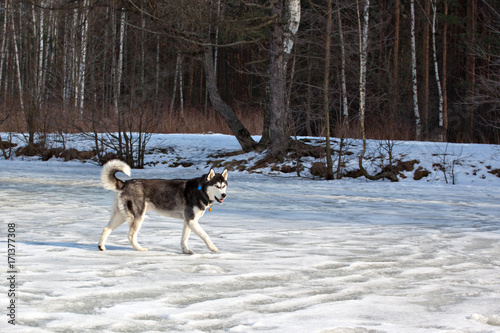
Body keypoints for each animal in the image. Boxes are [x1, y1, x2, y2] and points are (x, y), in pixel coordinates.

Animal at [98, 160, 228, 253]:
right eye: (217, 186)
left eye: (223, 186)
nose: (224, 195)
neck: (200, 191)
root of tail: (125, 183)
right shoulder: (191, 220)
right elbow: (205, 235)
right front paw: (213, 248)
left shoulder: (188, 221)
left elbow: (184, 238)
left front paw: (185, 250)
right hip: (138, 216)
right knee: (131, 236)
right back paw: (139, 248)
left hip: (120, 215)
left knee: (106, 229)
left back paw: (101, 246)